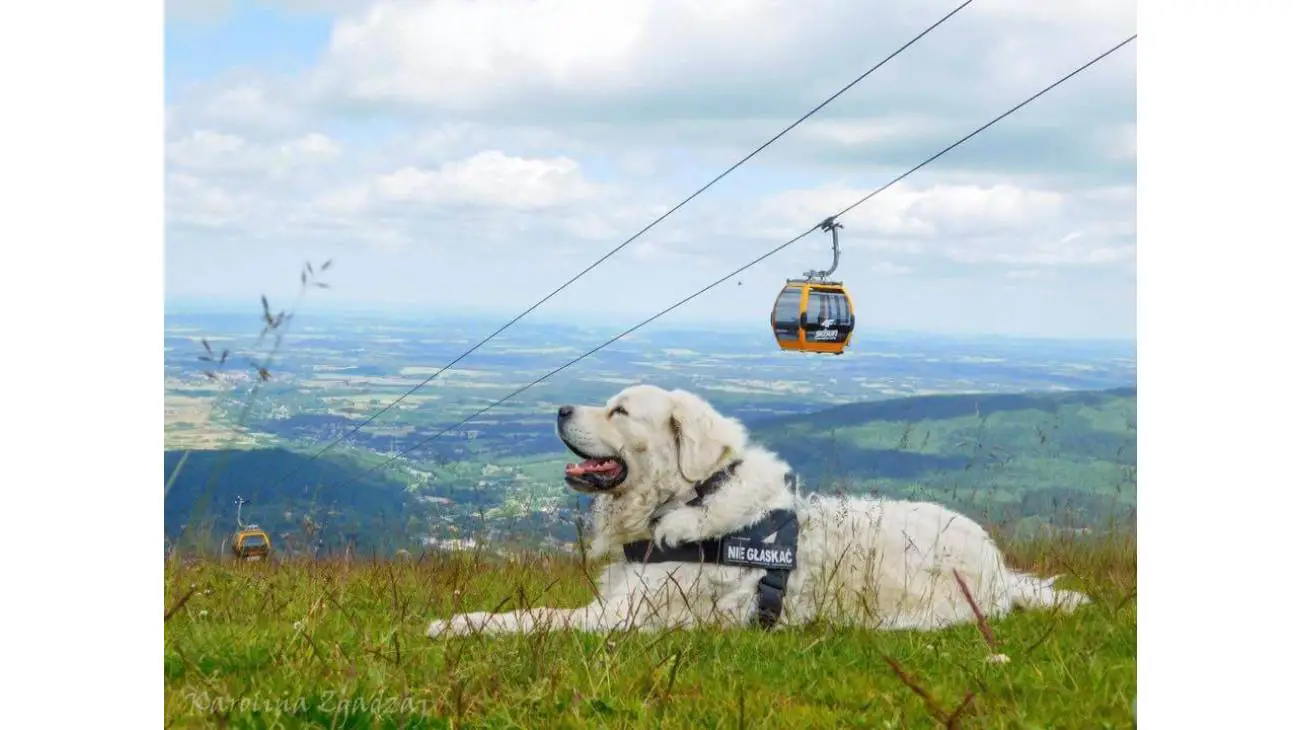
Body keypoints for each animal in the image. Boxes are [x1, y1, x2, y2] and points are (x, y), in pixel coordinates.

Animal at [428, 384, 1086, 633]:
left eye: (620, 410)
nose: (561, 409)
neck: (686, 499)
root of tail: (999, 567)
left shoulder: (618, 618)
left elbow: (531, 617)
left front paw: (454, 624)